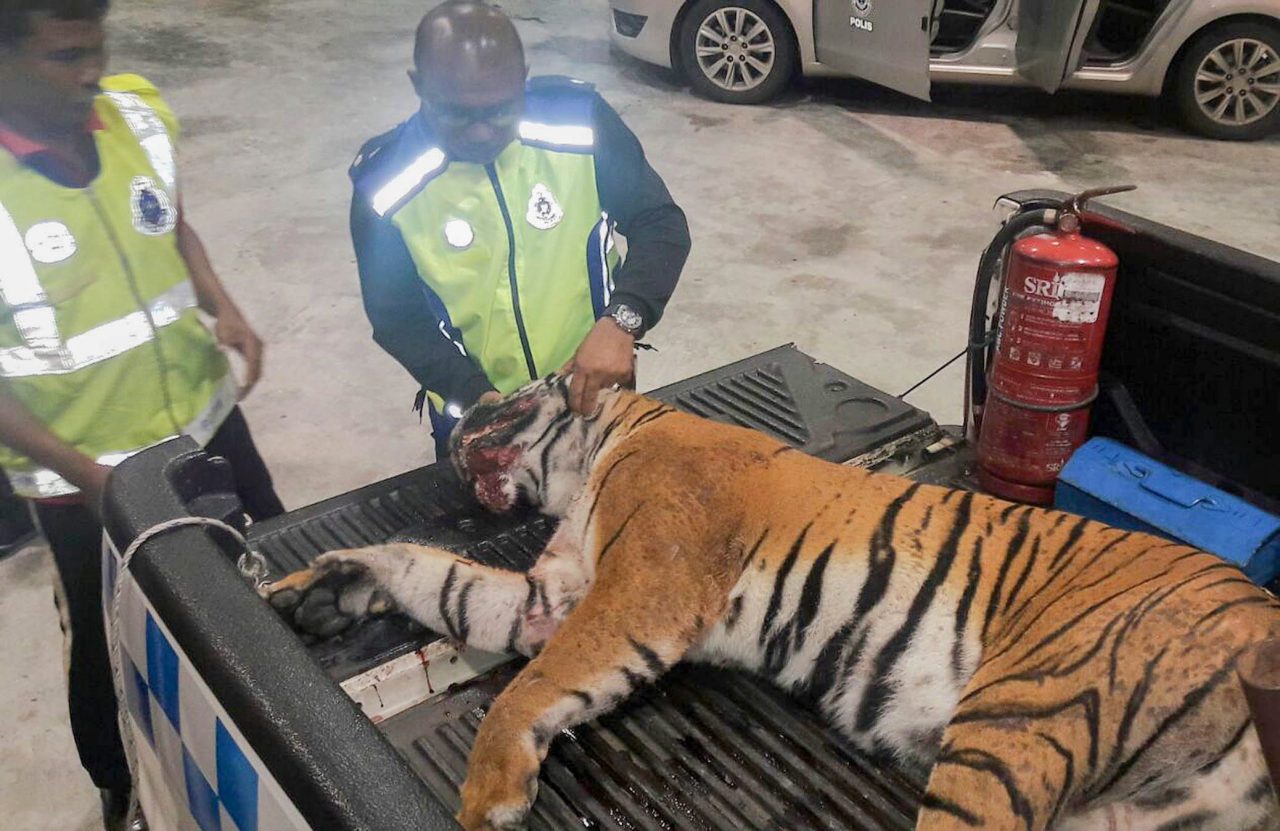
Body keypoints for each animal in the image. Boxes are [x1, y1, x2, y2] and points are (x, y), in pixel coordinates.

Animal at [264, 376, 1274, 829]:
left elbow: (527, 688)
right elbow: (433, 574)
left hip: (1023, 716)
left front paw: (489, 797)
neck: (599, 450)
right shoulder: (551, 595)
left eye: (507, 393)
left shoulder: (643, 585)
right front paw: (326, 586)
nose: (454, 416)